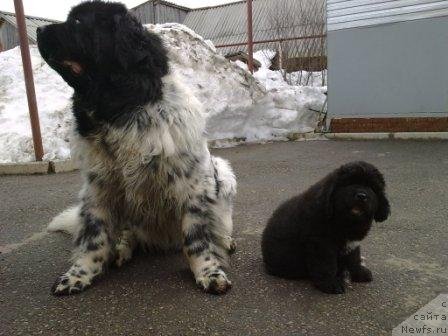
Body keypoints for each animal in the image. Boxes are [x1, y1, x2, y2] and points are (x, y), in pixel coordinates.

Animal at [36, 0, 236, 296]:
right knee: (126, 234)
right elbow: (94, 236)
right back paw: (120, 250)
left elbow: (197, 238)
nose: (38, 29)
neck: (122, 108)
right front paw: (78, 274)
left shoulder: (194, 187)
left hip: (222, 172)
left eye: (78, 22)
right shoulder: (97, 188)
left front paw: (209, 272)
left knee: (220, 222)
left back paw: (225, 239)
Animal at [260, 161, 390, 292]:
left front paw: (359, 273)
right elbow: (326, 265)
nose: (362, 196)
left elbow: (354, 258)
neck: (344, 220)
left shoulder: (353, 243)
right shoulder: (322, 244)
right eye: (349, 183)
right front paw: (331, 284)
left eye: (372, 187)